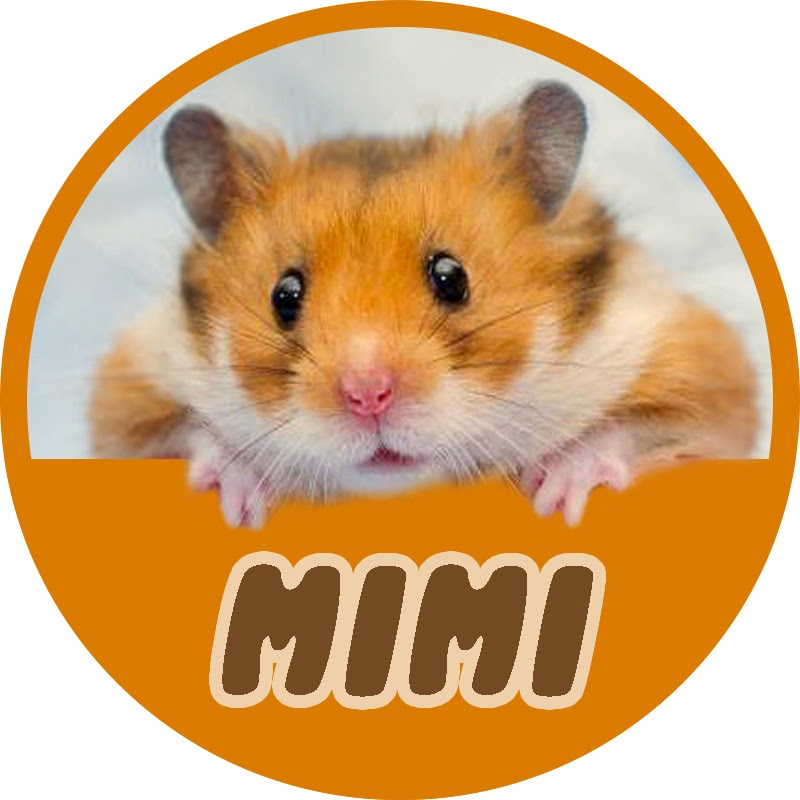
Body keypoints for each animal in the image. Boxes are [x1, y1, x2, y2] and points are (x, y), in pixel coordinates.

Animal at [89, 81, 757, 528]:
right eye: (284, 294)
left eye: (451, 277)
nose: (368, 396)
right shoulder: (131, 386)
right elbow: (182, 432)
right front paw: (240, 494)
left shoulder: (697, 364)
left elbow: (641, 426)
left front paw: (557, 494)